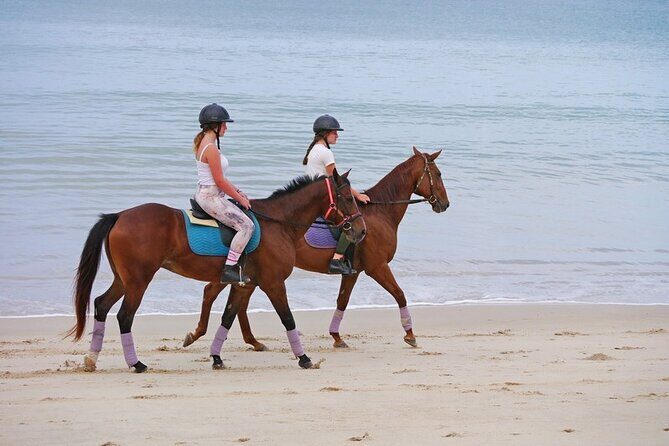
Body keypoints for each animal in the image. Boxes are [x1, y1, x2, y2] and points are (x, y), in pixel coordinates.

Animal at [68, 170, 366, 372]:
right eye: (347, 198)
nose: (362, 230)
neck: (278, 223)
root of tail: (119, 215)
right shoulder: (272, 283)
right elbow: (288, 319)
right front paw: (304, 358)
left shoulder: (245, 284)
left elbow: (227, 316)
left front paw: (216, 357)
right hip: (138, 281)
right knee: (124, 316)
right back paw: (136, 363)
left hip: (124, 280)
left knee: (101, 304)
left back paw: (92, 359)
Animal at [183, 147, 449, 351]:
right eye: (437, 173)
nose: (445, 204)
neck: (379, 212)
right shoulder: (377, 267)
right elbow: (400, 294)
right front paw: (410, 334)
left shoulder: (353, 271)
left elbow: (342, 300)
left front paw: (336, 337)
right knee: (212, 291)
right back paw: (199, 334)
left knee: (235, 300)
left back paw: (251, 341)